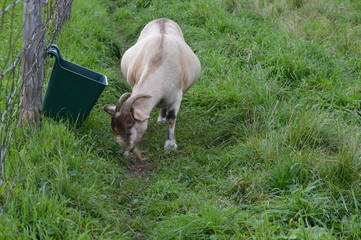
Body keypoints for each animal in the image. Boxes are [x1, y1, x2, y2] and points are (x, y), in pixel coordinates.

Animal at [102, 17, 201, 160]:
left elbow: (172, 118)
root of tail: (163, 18)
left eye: (128, 128)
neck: (160, 61)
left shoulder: (177, 96)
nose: (123, 151)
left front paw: (170, 145)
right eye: (115, 129)